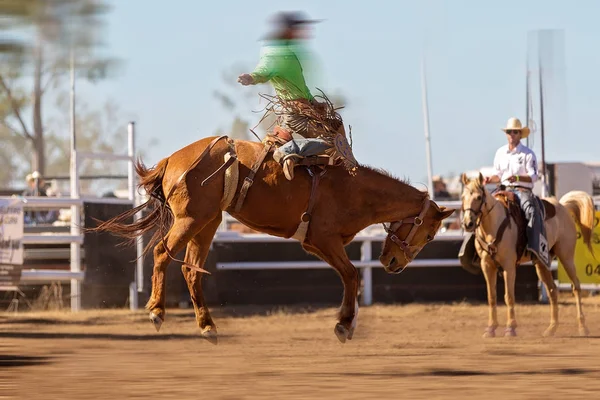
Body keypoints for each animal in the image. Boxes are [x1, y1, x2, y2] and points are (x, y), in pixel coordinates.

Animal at [95, 136, 454, 342]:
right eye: (430, 232)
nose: (394, 264)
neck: (353, 189)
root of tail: (172, 159)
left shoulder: (320, 244)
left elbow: (350, 276)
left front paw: (345, 324)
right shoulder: (322, 240)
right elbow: (352, 275)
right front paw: (344, 325)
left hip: (208, 222)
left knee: (190, 270)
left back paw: (208, 327)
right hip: (190, 219)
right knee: (161, 252)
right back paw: (156, 311)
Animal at [462, 173, 592, 340]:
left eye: (479, 197)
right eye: (463, 197)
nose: (468, 223)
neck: (494, 225)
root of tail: (562, 206)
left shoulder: (509, 266)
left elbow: (509, 296)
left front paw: (510, 328)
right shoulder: (487, 266)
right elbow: (492, 297)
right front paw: (490, 329)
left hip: (566, 256)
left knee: (576, 286)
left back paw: (583, 327)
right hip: (541, 263)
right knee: (552, 290)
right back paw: (551, 328)